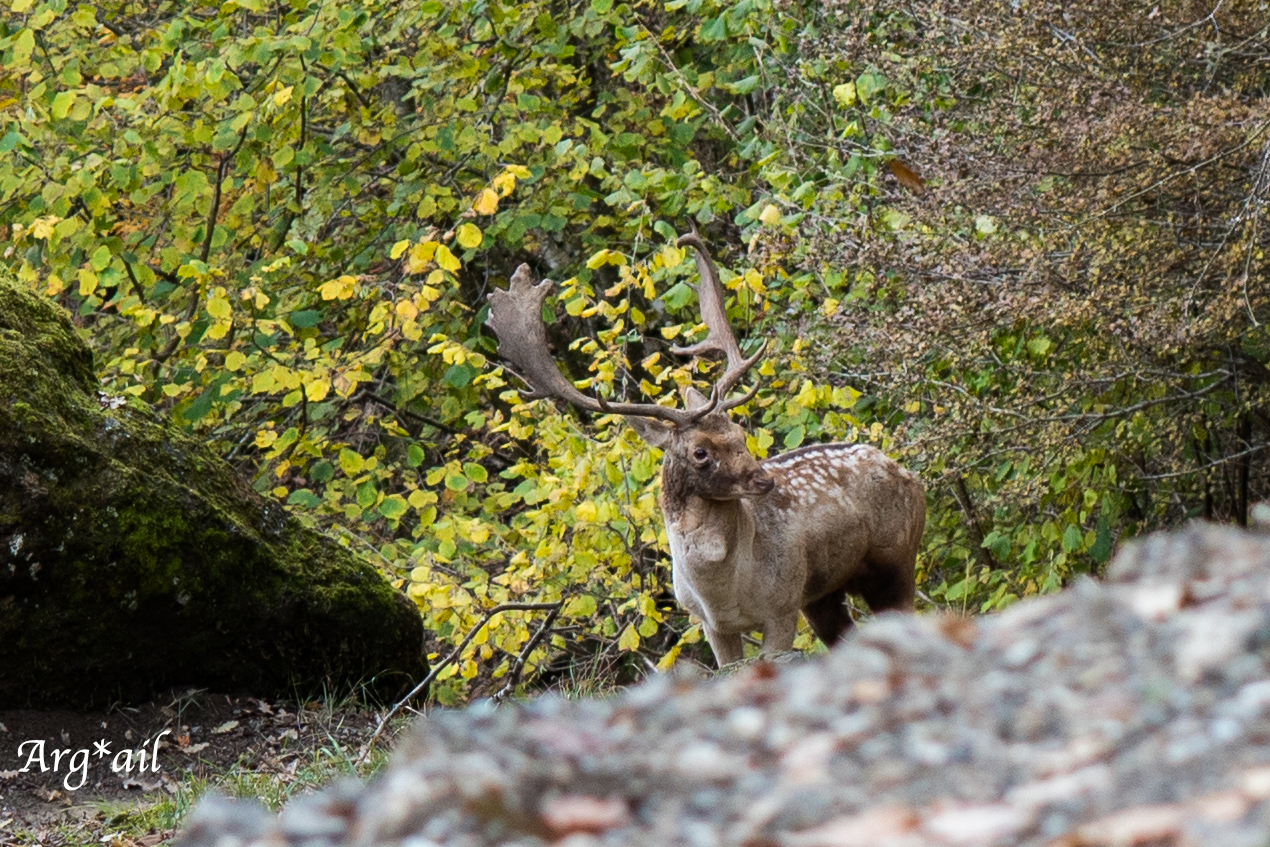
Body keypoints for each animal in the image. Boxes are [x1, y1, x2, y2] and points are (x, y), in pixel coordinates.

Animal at [486, 229, 926, 667]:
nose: (763, 480)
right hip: (823, 595)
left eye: (739, 433)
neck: (724, 593)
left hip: (895, 560)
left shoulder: (782, 605)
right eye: (700, 452)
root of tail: (904, 471)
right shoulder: (711, 624)